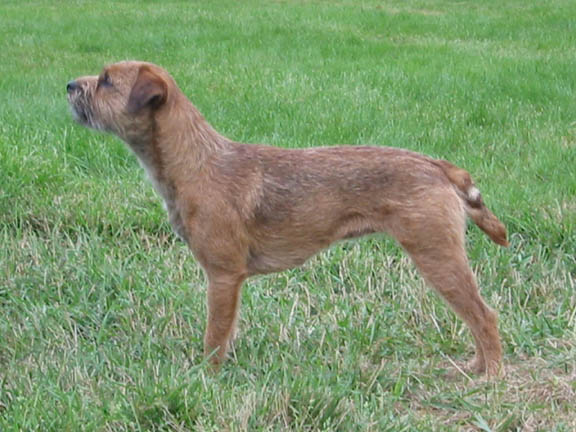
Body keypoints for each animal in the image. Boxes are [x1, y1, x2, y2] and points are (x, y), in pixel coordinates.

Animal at [67, 61, 508, 376]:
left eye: (106, 81)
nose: (70, 85)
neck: (197, 162)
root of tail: (438, 166)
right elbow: (224, 332)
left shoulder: (223, 276)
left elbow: (215, 334)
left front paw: (206, 378)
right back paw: (475, 368)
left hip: (437, 255)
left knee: (484, 315)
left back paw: (490, 376)